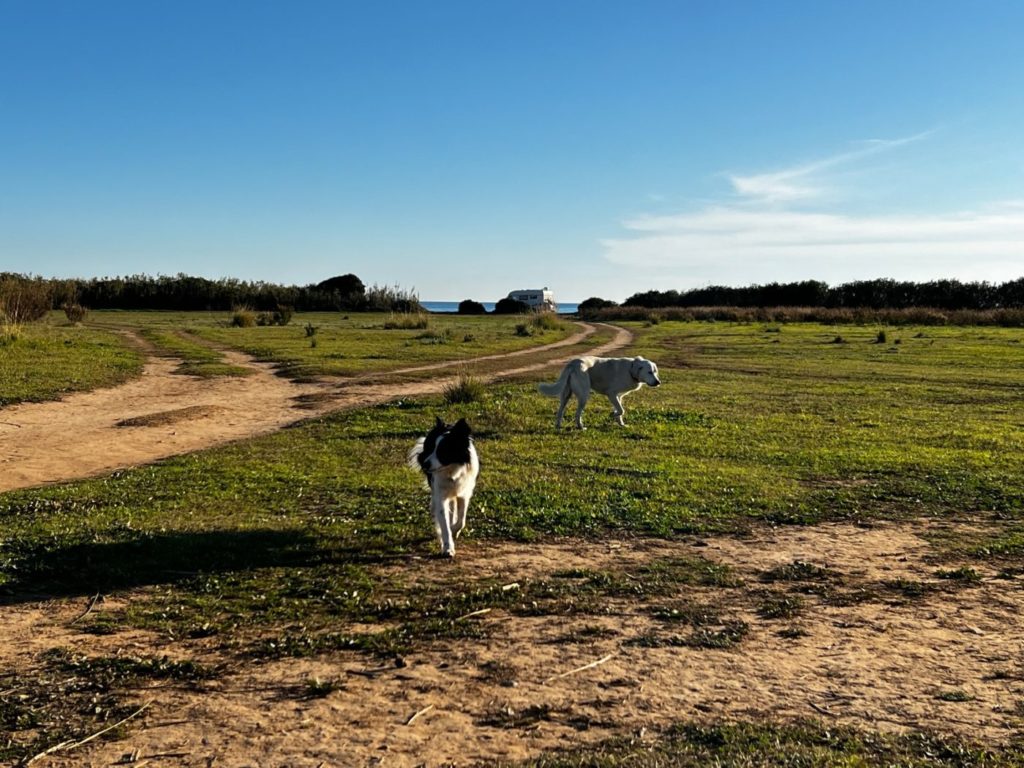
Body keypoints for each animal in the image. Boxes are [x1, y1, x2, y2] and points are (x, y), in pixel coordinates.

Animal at [407, 421, 479, 561]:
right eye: (430, 448)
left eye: (443, 450)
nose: (425, 464)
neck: (451, 470)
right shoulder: (441, 496)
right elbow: (444, 523)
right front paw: (447, 548)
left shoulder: (464, 493)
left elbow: (461, 520)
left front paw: (454, 530)